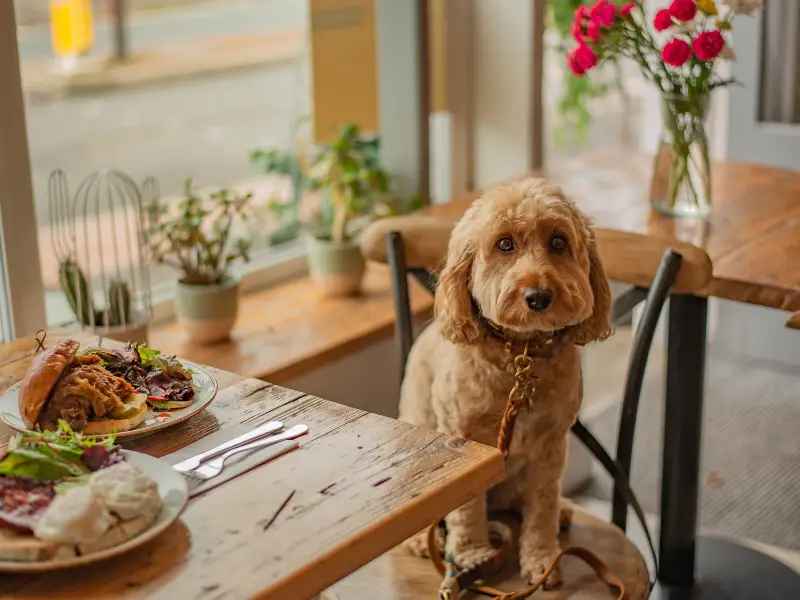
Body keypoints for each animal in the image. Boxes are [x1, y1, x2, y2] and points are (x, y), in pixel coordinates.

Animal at [400, 177, 612, 584]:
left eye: (558, 242)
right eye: (505, 244)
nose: (538, 296)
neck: (520, 355)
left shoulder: (550, 446)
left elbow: (541, 507)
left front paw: (542, 560)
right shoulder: (465, 442)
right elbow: (466, 508)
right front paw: (472, 555)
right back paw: (421, 539)